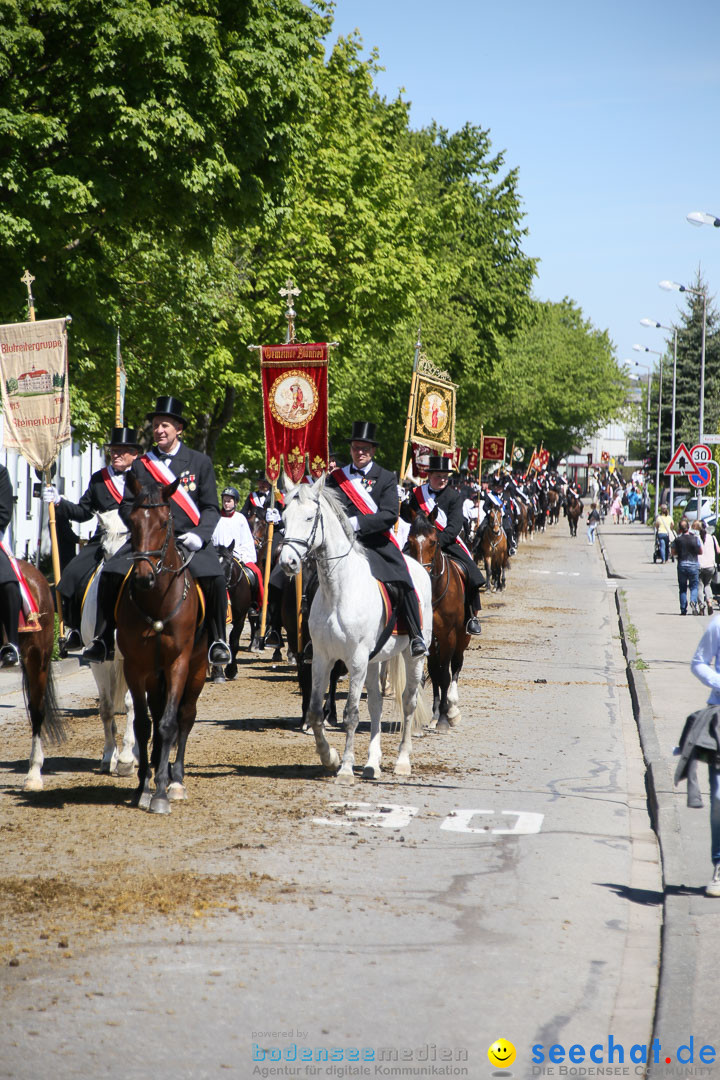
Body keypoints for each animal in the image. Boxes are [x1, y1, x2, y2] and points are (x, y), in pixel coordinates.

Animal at [117, 473, 208, 812]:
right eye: (131, 521)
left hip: (198, 669)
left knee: (185, 716)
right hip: (154, 676)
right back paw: (159, 767)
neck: (157, 602)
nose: (144, 577)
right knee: (156, 716)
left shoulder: (178, 663)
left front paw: (160, 794)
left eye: (164, 521)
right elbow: (144, 725)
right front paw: (144, 786)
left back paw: (176, 779)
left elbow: (170, 723)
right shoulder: (135, 667)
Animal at [278, 477, 431, 781]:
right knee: (376, 704)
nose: (288, 563)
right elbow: (316, 710)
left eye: (310, 518)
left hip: (412, 655)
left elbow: (351, 712)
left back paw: (402, 761)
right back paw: (373, 763)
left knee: (408, 701)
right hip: (373, 661)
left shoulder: (356, 659)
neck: (337, 589)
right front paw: (330, 758)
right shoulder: (322, 657)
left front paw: (346, 767)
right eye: (284, 519)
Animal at [403, 507, 470, 730]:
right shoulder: (429, 638)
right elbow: (435, 671)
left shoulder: (449, 635)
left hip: (463, 637)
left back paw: (453, 708)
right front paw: (435, 714)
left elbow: (445, 674)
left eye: (433, 541)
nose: (421, 573)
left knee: (456, 665)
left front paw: (444, 717)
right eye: (410, 540)